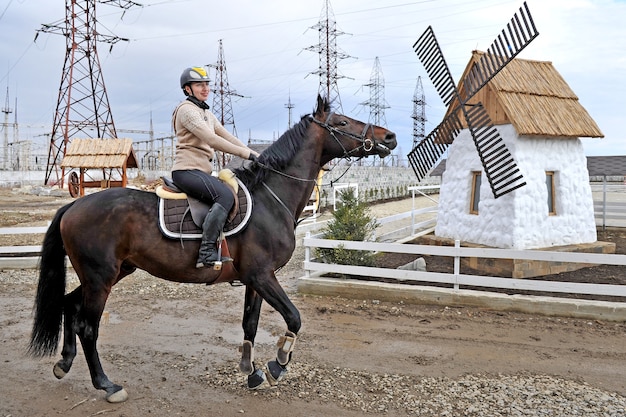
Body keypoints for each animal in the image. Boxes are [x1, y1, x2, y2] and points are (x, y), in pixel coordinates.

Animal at [28, 96, 394, 402]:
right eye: (342, 122)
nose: (389, 137)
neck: (270, 198)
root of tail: (74, 206)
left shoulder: (255, 280)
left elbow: (250, 325)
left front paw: (251, 372)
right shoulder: (263, 276)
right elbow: (294, 317)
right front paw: (277, 365)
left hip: (109, 274)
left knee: (69, 305)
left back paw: (64, 363)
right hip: (100, 278)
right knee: (88, 327)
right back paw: (107, 385)